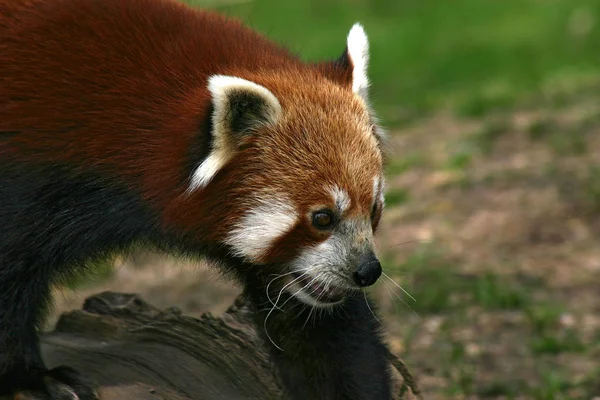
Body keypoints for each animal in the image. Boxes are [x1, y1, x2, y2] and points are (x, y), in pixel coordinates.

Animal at [0, 0, 392, 398]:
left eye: (374, 209)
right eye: (323, 218)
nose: (367, 271)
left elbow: (323, 329)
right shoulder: (32, 173)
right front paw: (29, 377)